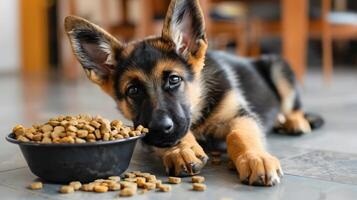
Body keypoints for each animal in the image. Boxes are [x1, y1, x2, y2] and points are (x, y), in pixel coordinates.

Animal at [64, 0, 322, 186]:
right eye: (133, 90)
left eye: (174, 79)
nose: (160, 127)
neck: (199, 103)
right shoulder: (146, 130)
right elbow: (174, 137)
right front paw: (182, 149)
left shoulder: (241, 116)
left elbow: (238, 135)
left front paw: (255, 158)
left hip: (279, 67)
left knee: (293, 107)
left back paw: (294, 122)